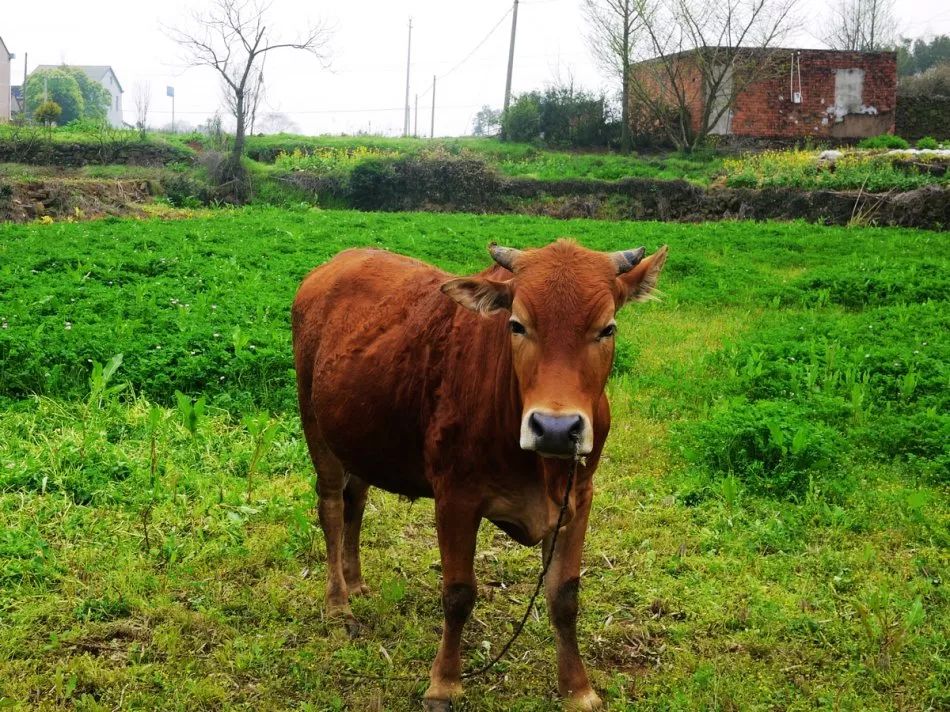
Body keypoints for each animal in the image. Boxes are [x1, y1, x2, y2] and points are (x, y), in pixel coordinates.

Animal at [292, 241, 668, 712]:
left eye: (607, 328)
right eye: (517, 324)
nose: (556, 428)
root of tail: (330, 268)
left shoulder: (579, 497)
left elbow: (565, 597)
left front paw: (578, 688)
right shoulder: (456, 499)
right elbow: (458, 594)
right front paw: (444, 684)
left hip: (359, 437)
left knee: (354, 503)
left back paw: (356, 582)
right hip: (316, 428)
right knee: (330, 507)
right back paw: (338, 603)